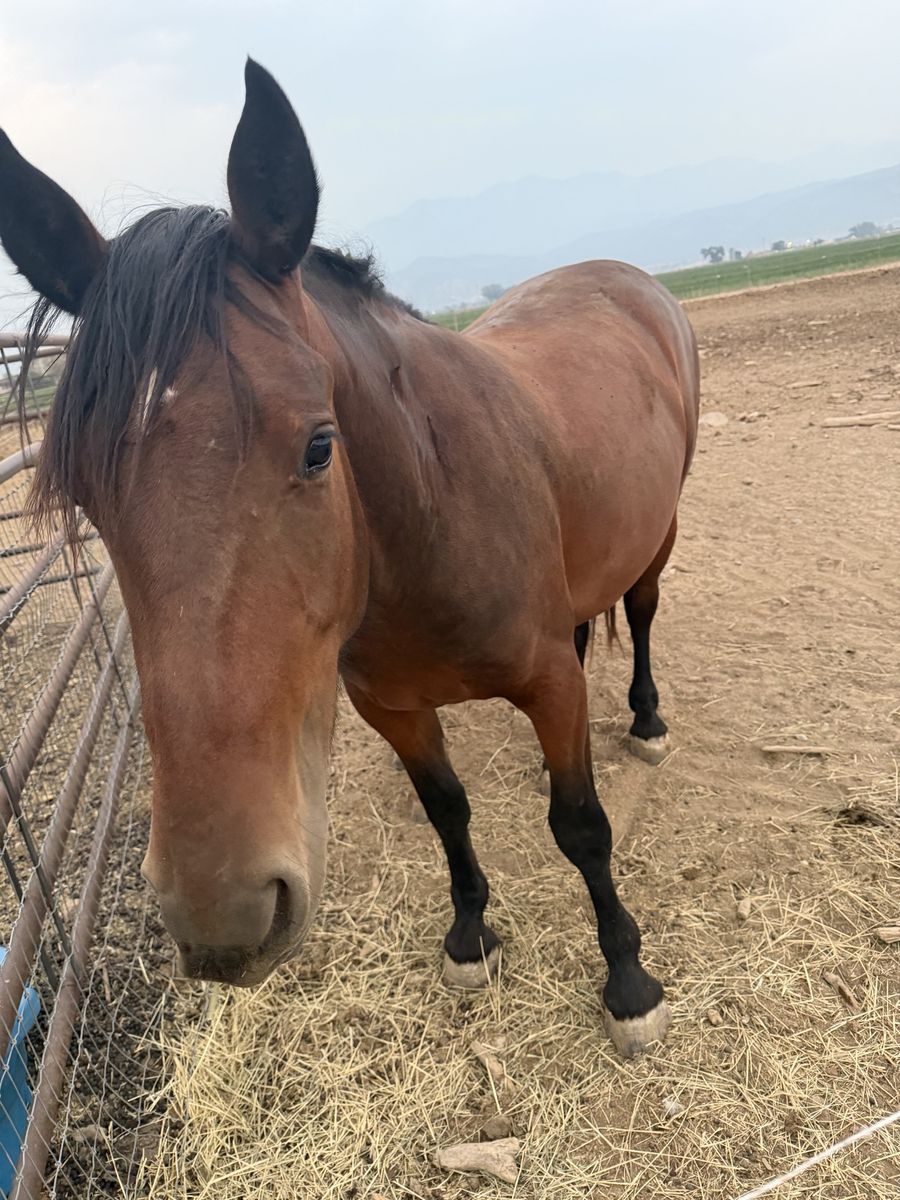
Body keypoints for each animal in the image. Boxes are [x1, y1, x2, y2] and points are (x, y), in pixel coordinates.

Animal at [0, 59, 699, 1057]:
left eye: (319, 447)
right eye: (89, 496)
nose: (223, 911)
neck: (429, 525)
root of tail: (623, 277)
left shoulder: (547, 685)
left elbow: (583, 828)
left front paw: (629, 982)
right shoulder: (392, 706)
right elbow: (448, 811)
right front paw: (469, 935)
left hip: (659, 535)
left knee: (638, 615)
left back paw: (644, 720)